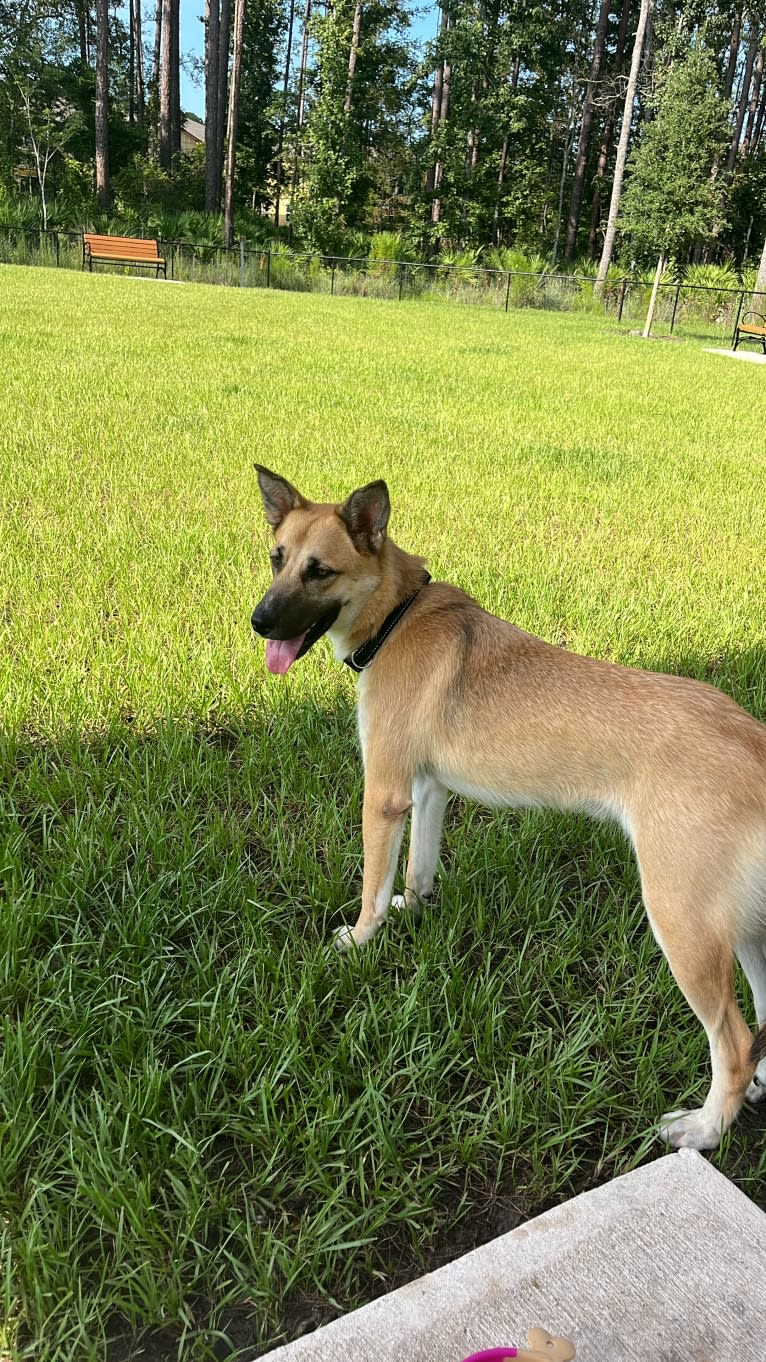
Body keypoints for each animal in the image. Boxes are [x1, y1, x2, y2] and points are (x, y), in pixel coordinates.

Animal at [252, 465, 763, 1149]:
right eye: (277, 558)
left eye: (320, 571)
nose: (258, 622)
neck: (395, 615)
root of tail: (753, 740)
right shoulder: (427, 789)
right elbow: (416, 870)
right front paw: (414, 911)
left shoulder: (382, 794)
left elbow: (371, 888)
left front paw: (361, 939)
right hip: (747, 929)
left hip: (684, 923)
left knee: (732, 1044)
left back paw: (704, 1129)